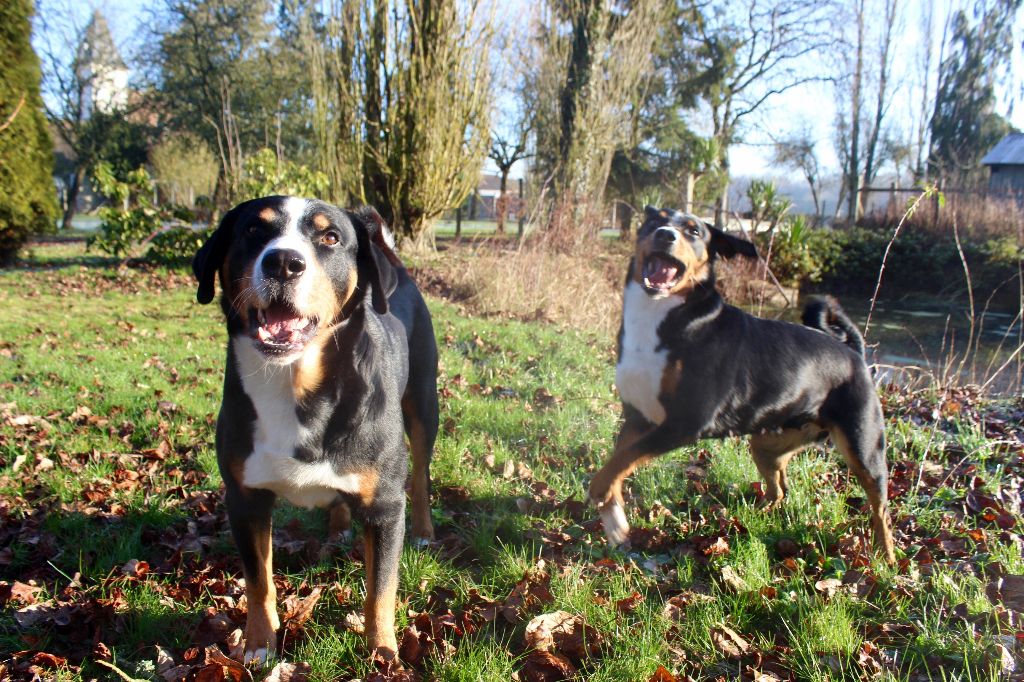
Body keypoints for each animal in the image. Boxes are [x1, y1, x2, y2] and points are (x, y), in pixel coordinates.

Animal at [190, 193, 438, 659]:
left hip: (423, 406)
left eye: (331, 237)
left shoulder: (385, 507)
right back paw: (339, 528)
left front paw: (382, 654)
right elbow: (259, 583)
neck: (293, 383)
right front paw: (259, 645)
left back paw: (424, 531)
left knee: (420, 478)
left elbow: (381, 590)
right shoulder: (245, 498)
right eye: (254, 229)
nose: (284, 263)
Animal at [589, 204, 892, 561]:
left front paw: (600, 493)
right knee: (780, 490)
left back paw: (886, 557)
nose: (665, 234)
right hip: (766, 445)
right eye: (655, 220)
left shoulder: (684, 422)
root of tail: (853, 352)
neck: (659, 317)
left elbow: (621, 461)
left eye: (694, 231)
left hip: (864, 448)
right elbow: (619, 460)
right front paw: (614, 517)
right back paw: (750, 522)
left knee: (880, 509)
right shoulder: (638, 416)